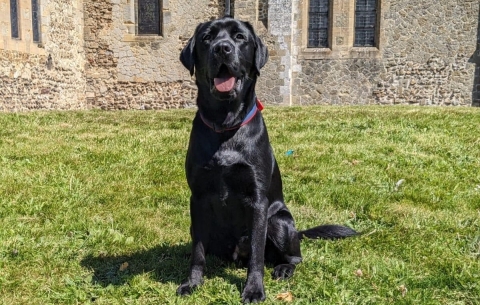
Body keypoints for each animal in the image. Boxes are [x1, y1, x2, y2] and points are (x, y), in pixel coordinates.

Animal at [176, 16, 356, 302]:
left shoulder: (258, 201)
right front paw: (192, 283)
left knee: (294, 257)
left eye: (239, 37)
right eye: (207, 38)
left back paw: (284, 268)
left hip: (279, 222)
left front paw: (253, 289)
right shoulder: (198, 198)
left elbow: (257, 255)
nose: (222, 48)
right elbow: (198, 252)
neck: (225, 124)